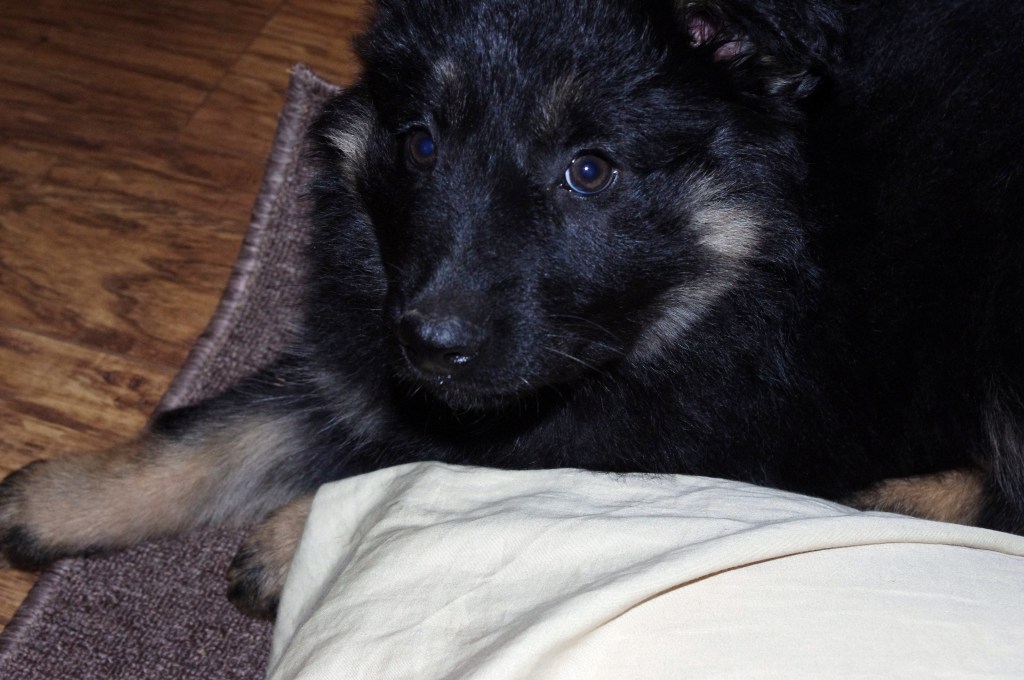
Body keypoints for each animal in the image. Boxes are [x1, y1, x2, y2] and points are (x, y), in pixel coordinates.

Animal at [3, 0, 1024, 620]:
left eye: (591, 170)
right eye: (419, 145)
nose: (431, 344)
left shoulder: (655, 428)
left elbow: (454, 460)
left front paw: (294, 541)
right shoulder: (365, 352)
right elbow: (221, 431)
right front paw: (64, 496)